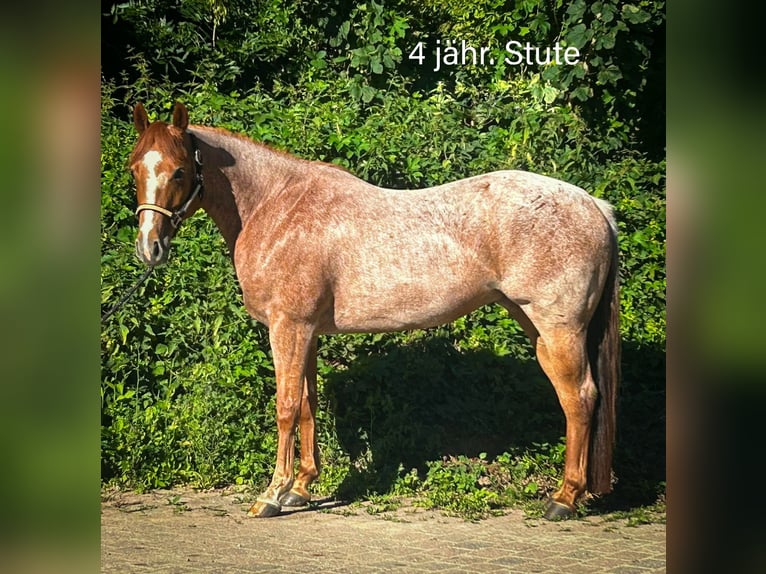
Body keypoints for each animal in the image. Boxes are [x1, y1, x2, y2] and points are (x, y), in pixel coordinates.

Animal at [127, 101, 620, 520]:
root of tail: (595, 205)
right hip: (536, 326)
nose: (150, 248)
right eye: (136, 168)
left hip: (558, 329)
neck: (277, 207)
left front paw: (271, 495)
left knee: (579, 398)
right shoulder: (308, 332)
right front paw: (301, 489)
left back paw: (564, 499)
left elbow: (285, 407)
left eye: (178, 171)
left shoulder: (288, 327)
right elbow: (307, 405)